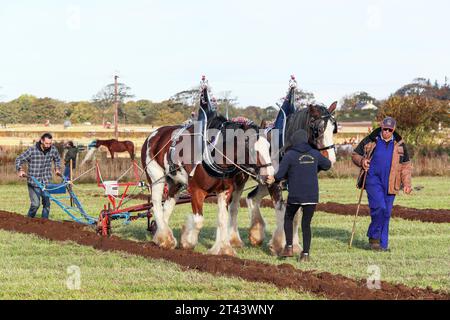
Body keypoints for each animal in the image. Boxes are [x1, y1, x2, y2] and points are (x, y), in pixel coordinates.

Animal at [142, 114, 274, 256]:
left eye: (268, 146)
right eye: (252, 148)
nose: (270, 176)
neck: (213, 154)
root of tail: (154, 134)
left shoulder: (225, 191)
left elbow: (223, 218)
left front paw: (223, 248)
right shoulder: (196, 190)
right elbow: (199, 221)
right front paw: (188, 241)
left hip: (176, 182)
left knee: (167, 206)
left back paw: (161, 237)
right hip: (156, 178)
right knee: (156, 205)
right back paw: (165, 238)